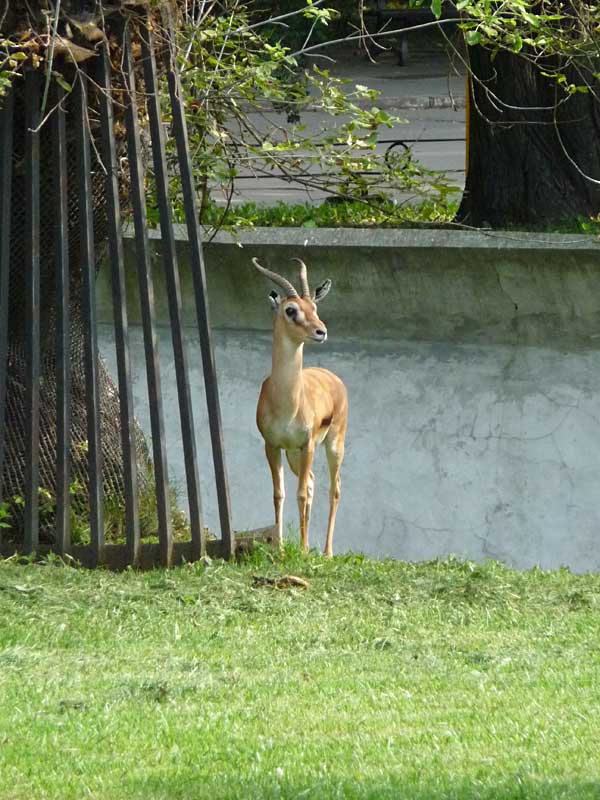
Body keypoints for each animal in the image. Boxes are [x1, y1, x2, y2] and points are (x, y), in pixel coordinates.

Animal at [252, 256, 348, 557]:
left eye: (314, 307)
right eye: (291, 310)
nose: (321, 331)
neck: (286, 404)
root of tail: (332, 376)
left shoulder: (307, 445)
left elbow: (301, 493)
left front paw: (304, 549)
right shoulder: (272, 445)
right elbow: (279, 493)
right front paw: (280, 547)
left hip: (332, 445)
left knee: (333, 488)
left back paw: (327, 551)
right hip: (294, 455)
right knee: (313, 481)